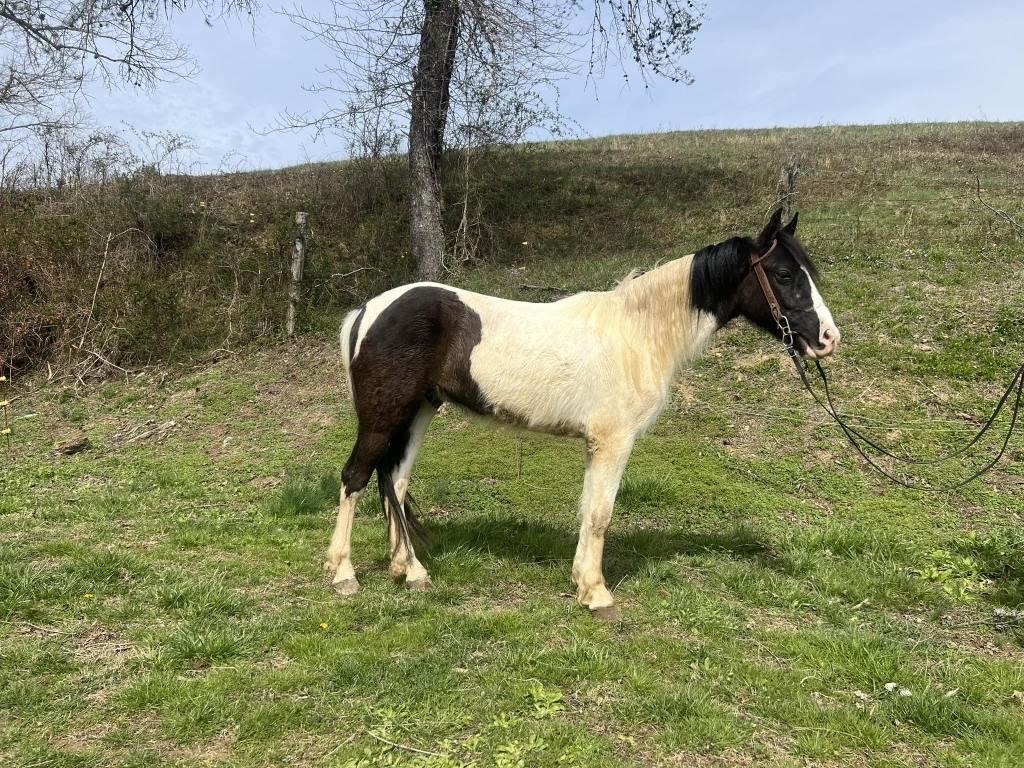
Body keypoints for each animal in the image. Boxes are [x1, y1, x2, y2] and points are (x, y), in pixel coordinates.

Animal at [327, 208, 839, 618]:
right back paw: (343, 574)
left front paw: (583, 582)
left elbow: (590, 510)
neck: (638, 333)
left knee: (394, 482)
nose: (828, 338)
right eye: (784, 274)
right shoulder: (613, 441)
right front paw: (596, 594)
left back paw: (410, 570)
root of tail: (367, 309)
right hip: (384, 415)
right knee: (355, 477)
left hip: (417, 413)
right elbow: (599, 514)